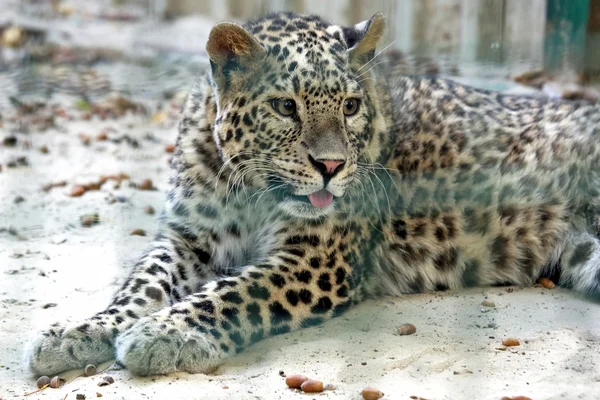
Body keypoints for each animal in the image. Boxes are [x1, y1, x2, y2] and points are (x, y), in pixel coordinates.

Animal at [24, 10, 600, 376]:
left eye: (350, 106)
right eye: (285, 107)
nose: (331, 166)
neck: (251, 195)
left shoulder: (318, 258)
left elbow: (234, 292)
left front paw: (164, 334)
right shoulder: (188, 239)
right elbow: (139, 286)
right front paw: (78, 333)